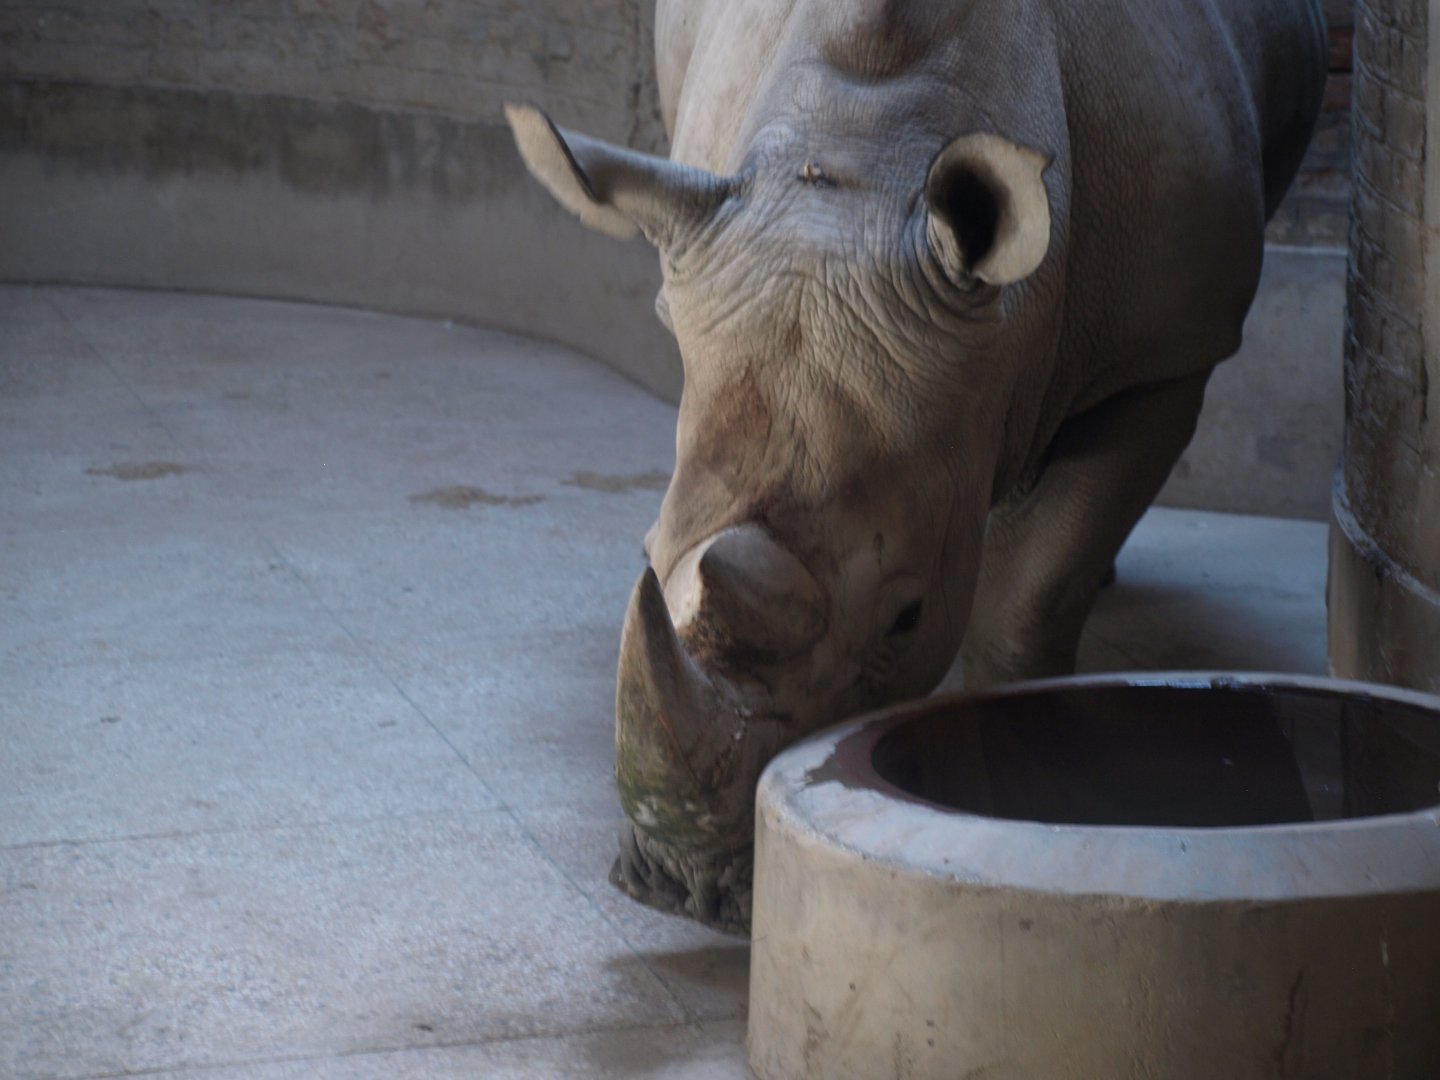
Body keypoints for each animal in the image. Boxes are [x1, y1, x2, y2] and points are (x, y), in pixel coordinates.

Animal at [507, 0, 1327, 932]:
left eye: (906, 620)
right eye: (644, 556)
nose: (686, 888)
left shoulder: (1162, 360)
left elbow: (1025, 604)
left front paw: (1028, 784)